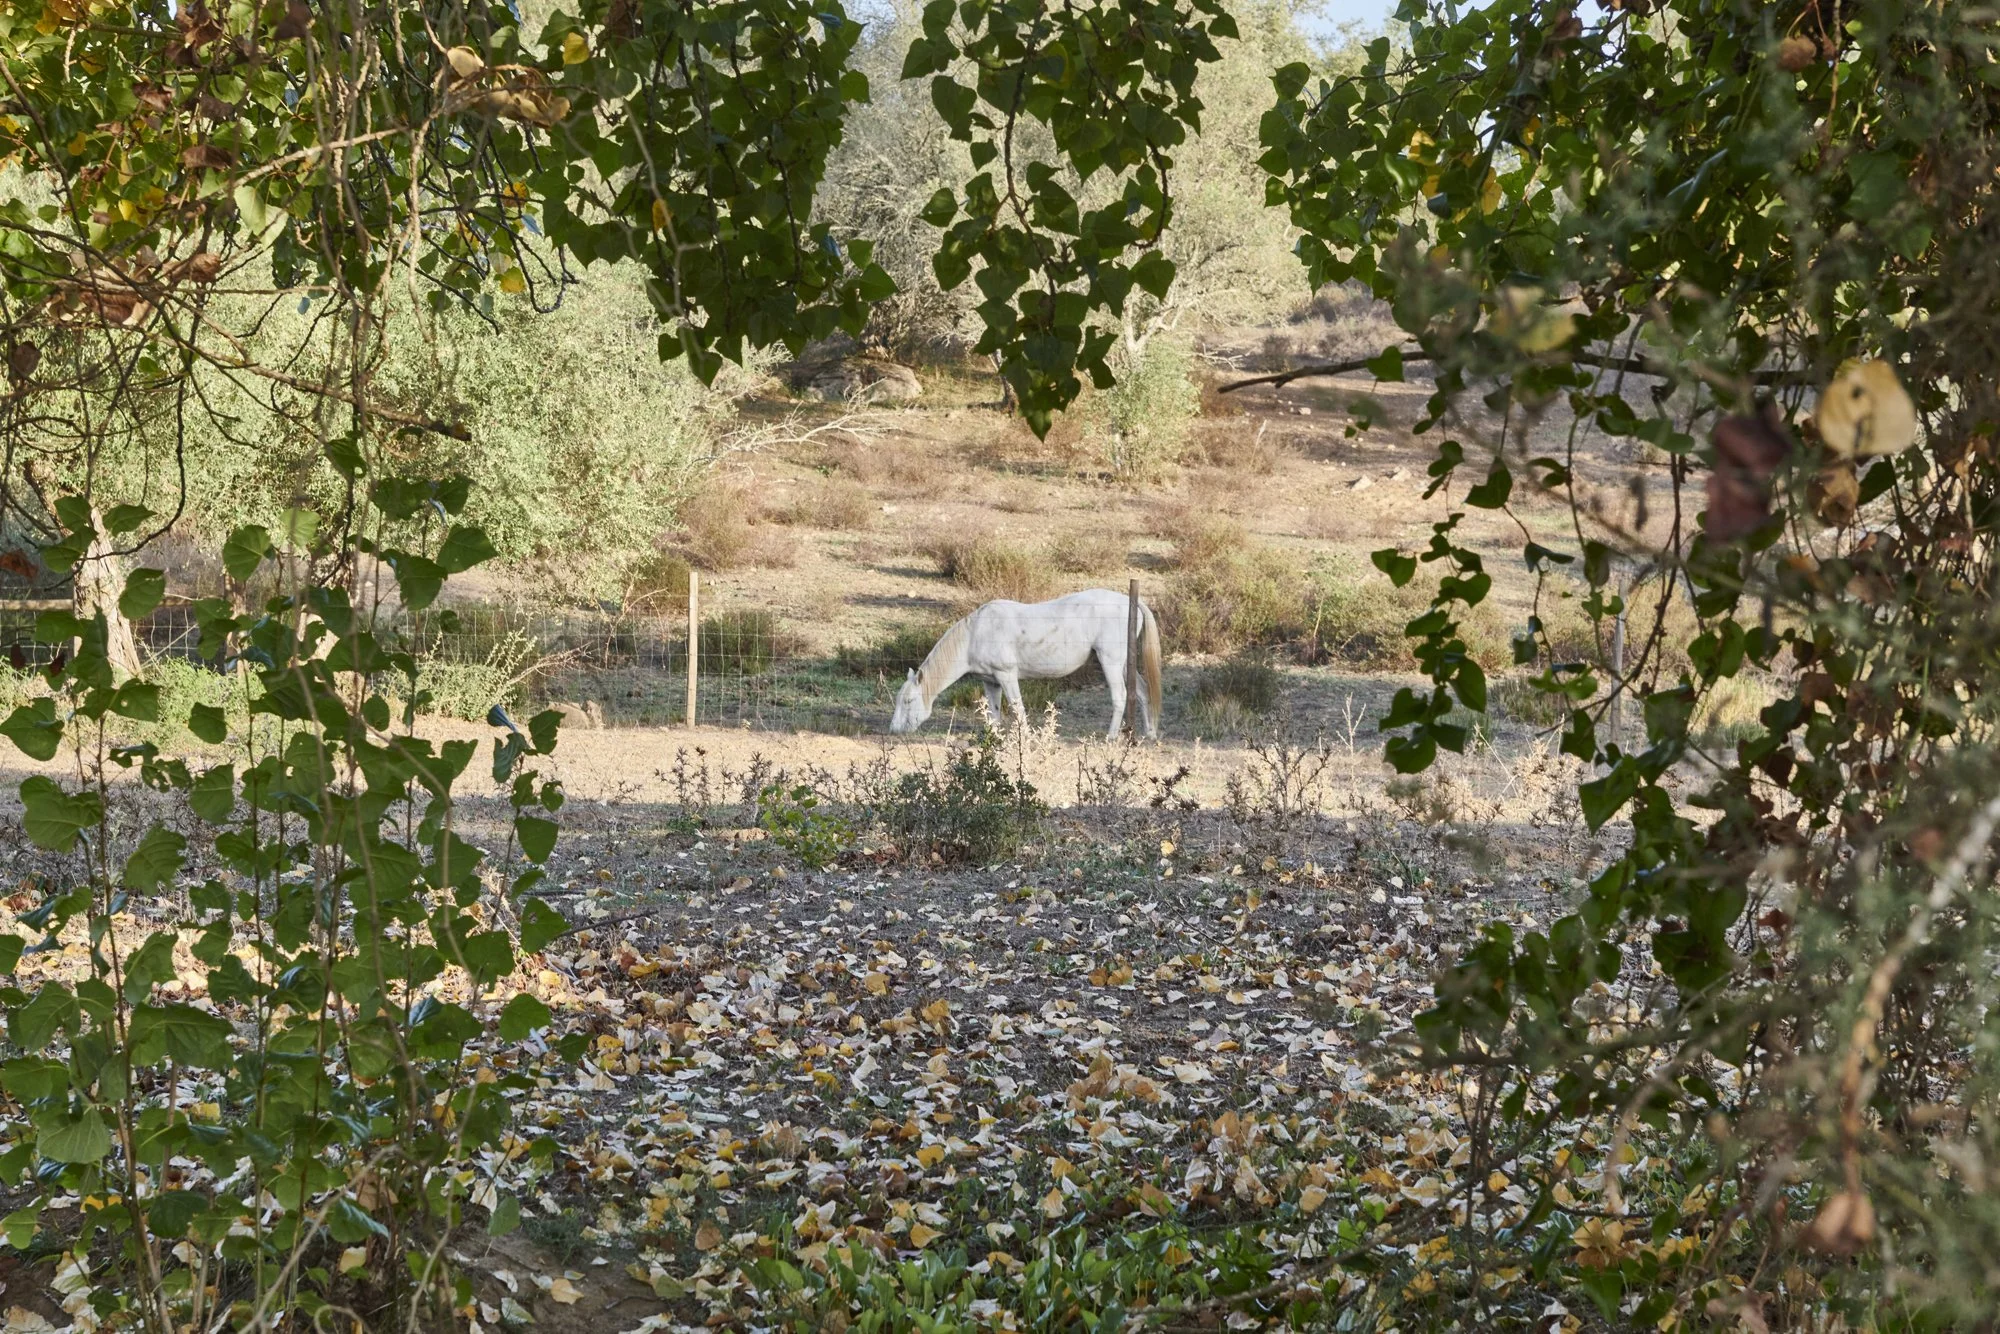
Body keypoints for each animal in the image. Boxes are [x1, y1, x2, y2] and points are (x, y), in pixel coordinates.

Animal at [889, 589, 1162, 739]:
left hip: (1110, 661)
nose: (893, 730)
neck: (976, 633)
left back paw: (1111, 736)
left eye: (909, 701)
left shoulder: (1006, 675)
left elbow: (1017, 708)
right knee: (1142, 691)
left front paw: (1026, 737)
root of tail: (1131, 602)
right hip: (1125, 663)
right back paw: (1149, 733)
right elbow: (995, 714)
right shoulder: (990, 682)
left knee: (1120, 696)